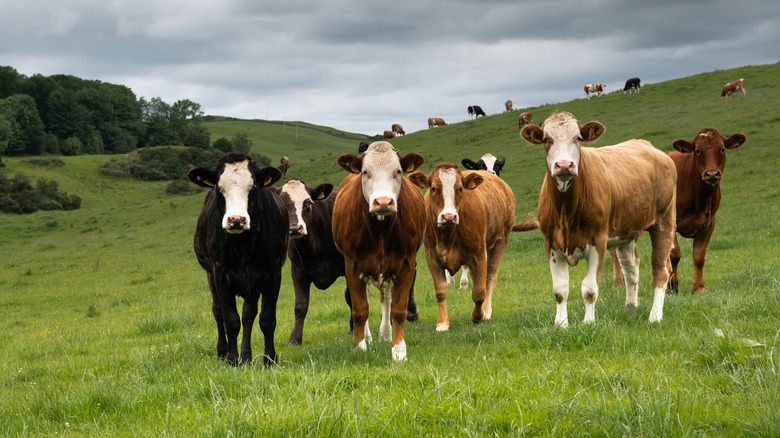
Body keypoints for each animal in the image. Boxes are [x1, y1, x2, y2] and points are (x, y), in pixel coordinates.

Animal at [188, 152, 288, 366]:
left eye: (253, 187)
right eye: (219, 188)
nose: (236, 220)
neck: (244, 244)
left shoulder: (272, 273)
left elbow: (266, 319)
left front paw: (269, 359)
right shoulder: (220, 273)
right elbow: (231, 320)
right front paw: (232, 359)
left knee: (249, 314)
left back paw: (247, 357)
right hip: (211, 275)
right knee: (218, 311)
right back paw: (223, 353)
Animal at [331, 141, 426, 361]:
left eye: (398, 171)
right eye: (365, 172)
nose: (383, 202)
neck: (380, 231)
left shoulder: (407, 264)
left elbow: (398, 309)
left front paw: (398, 349)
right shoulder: (352, 265)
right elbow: (360, 309)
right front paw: (360, 346)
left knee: (387, 299)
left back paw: (385, 334)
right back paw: (368, 336)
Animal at [410, 164, 538, 331]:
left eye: (460, 188)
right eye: (433, 188)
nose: (449, 217)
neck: (448, 235)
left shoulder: (479, 255)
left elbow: (479, 292)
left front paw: (478, 316)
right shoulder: (432, 257)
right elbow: (441, 291)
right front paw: (443, 323)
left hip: (501, 240)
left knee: (490, 276)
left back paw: (486, 311)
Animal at [520, 111, 677, 327]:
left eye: (578, 137)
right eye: (546, 139)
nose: (564, 165)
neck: (566, 211)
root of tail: (649, 147)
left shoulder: (598, 241)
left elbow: (589, 289)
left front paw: (588, 322)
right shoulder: (551, 243)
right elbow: (560, 290)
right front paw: (561, 325)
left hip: (664, 221)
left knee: (660, 269)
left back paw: (655, 315)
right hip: (625, 233)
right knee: (631, 270)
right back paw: (630, 307)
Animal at [667, 128, 746, 293]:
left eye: (722, 149)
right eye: (697, 150)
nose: (711, 174)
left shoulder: (709, 222)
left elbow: (699, 256)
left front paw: (698, 288)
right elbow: (674, 255)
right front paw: (672, 286)